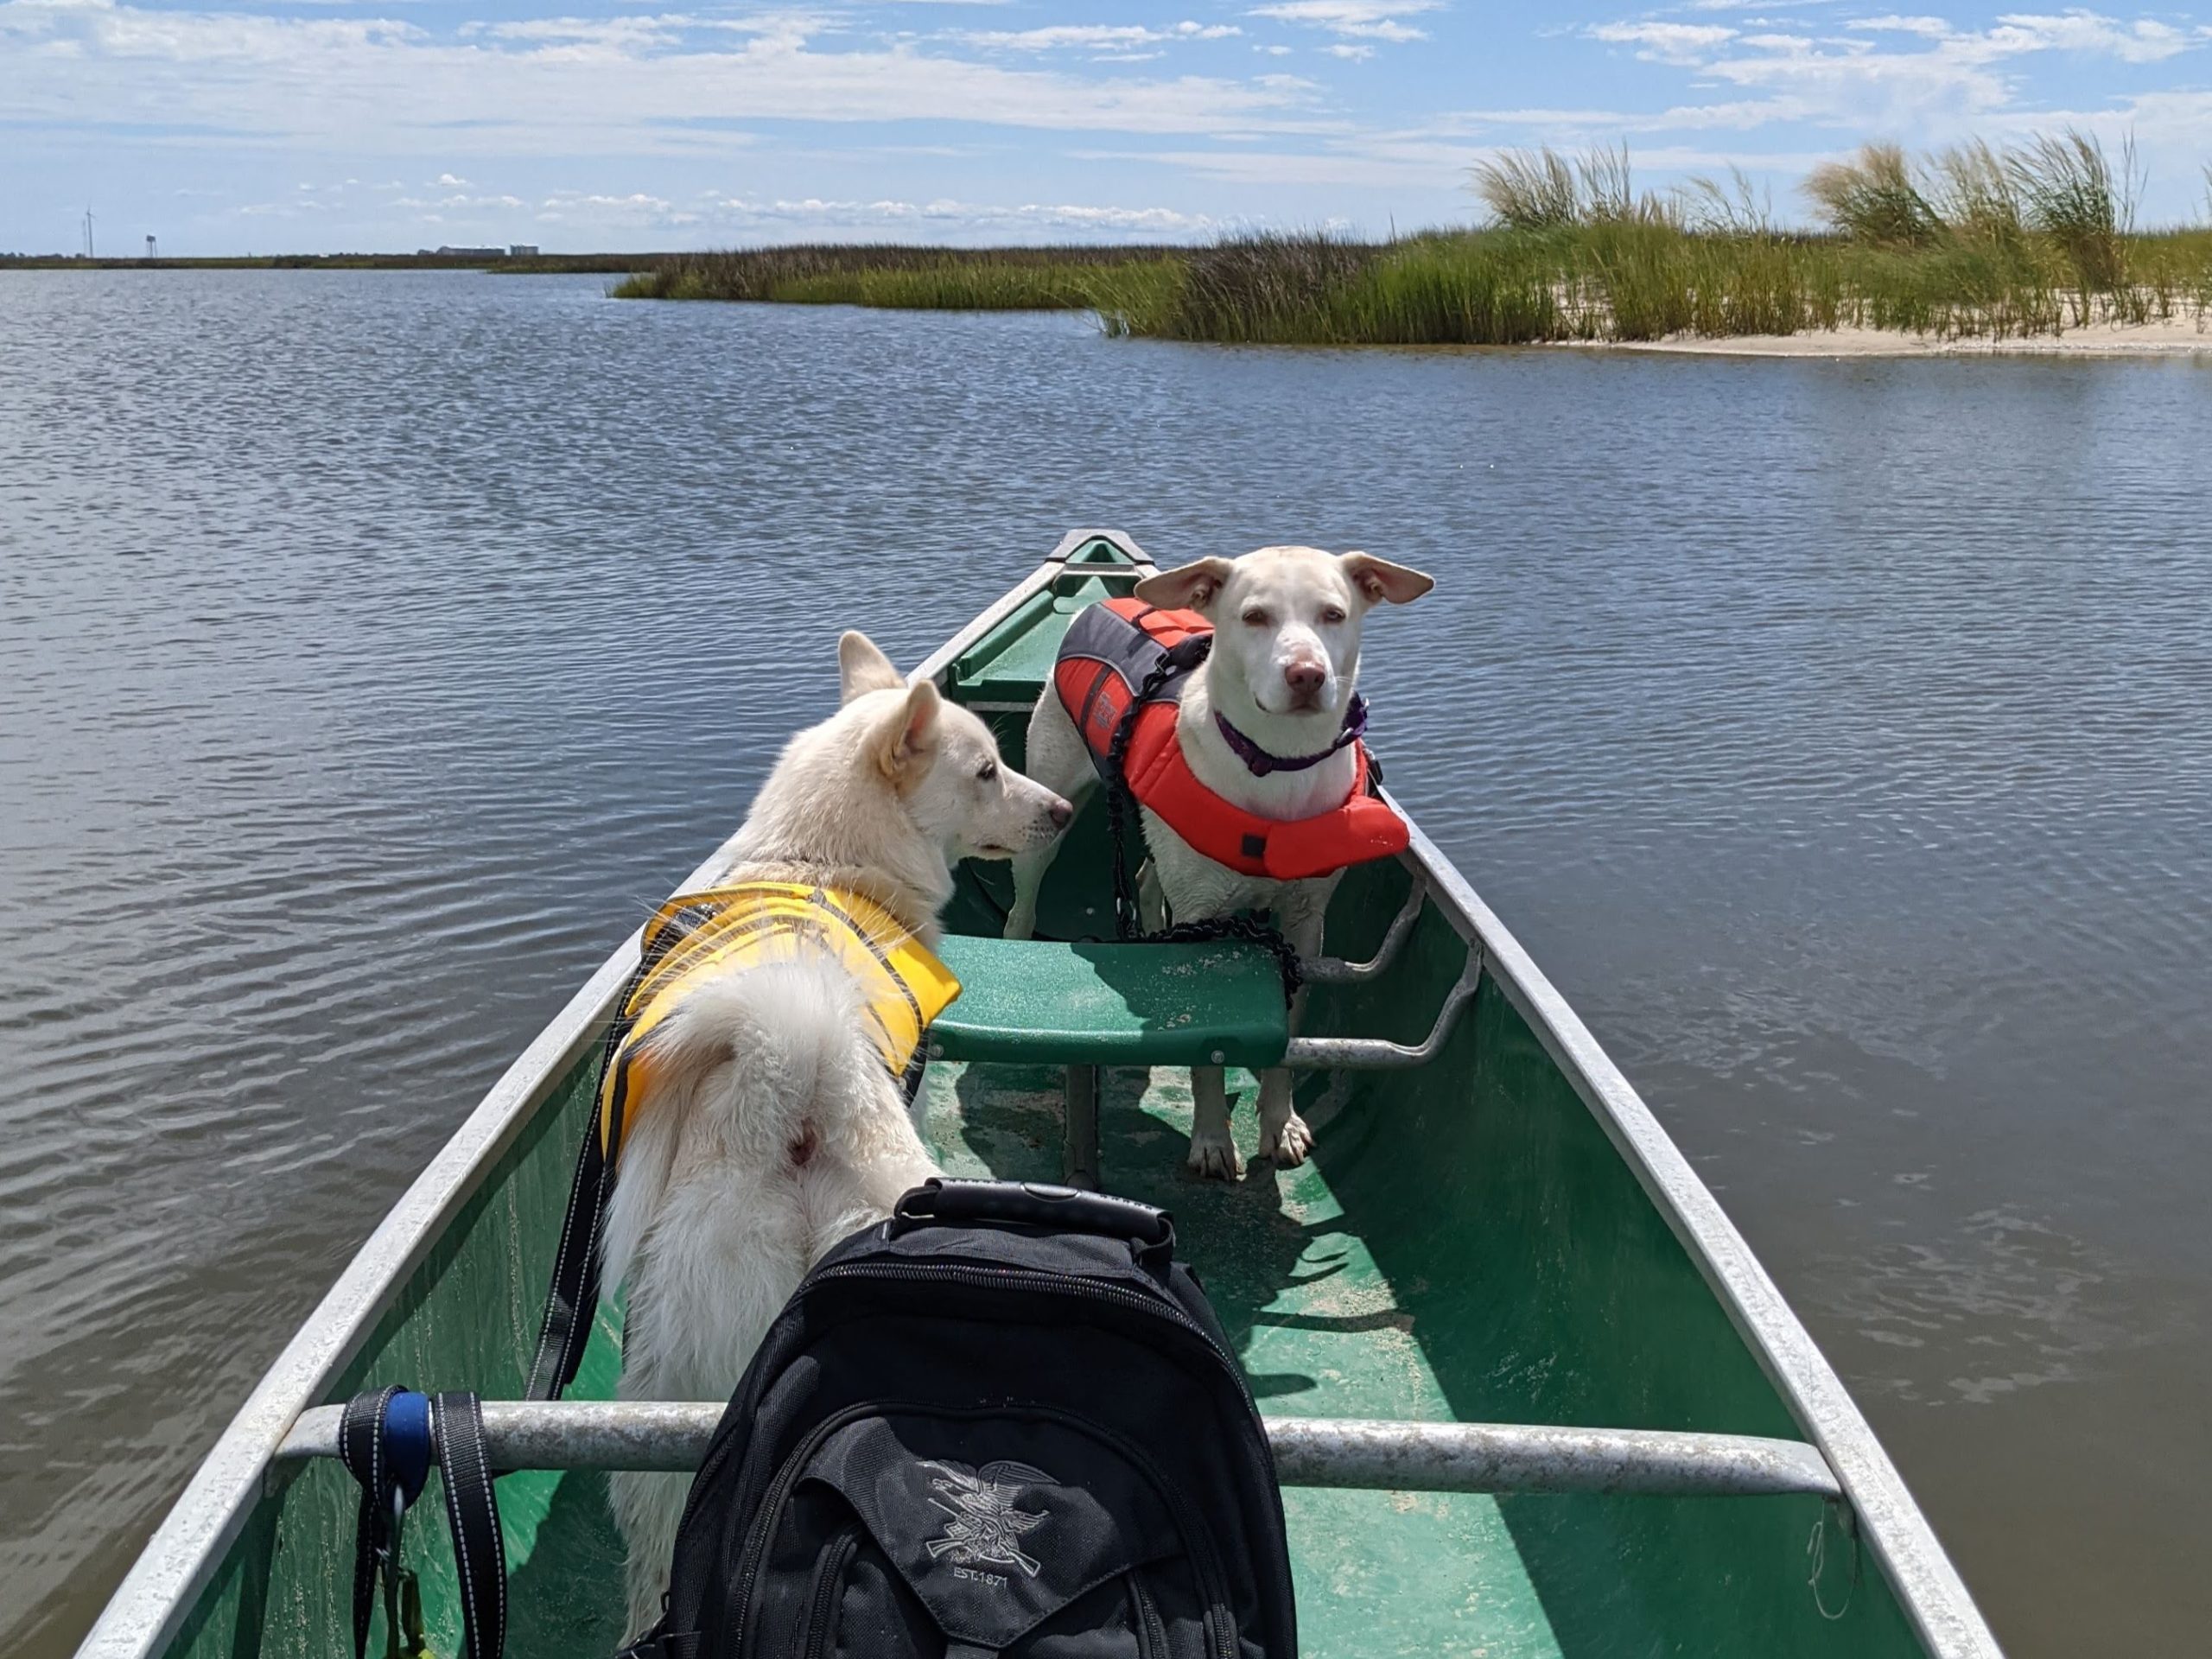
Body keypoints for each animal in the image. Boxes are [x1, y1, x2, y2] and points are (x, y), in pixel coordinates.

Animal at [1004, 546, 1433, 1185]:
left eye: (1334, 613)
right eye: (1254, 616)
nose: (1307, 675)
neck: (1276, 764)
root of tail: (1097, 602)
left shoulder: (1304, 922)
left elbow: (1288, 1035)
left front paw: (1280, 1125)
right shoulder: (1203, 919)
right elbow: (1205, 1054)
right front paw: (1210, 1139)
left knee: (1144, 880)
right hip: (1048, 812)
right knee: (1023, 907)